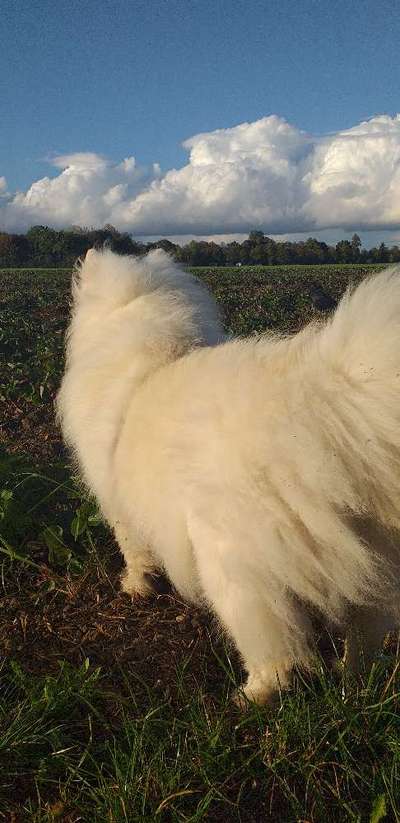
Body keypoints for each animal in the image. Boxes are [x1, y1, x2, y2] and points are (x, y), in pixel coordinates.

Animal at [57, 248, 400, 704]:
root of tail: (320, 401)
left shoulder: (118, 504)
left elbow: (134, 551)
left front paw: (135, 587)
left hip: (231, 568)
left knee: (275, 653)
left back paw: (249, 697)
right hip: (369, 554)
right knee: (363, 634)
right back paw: (351, 680)